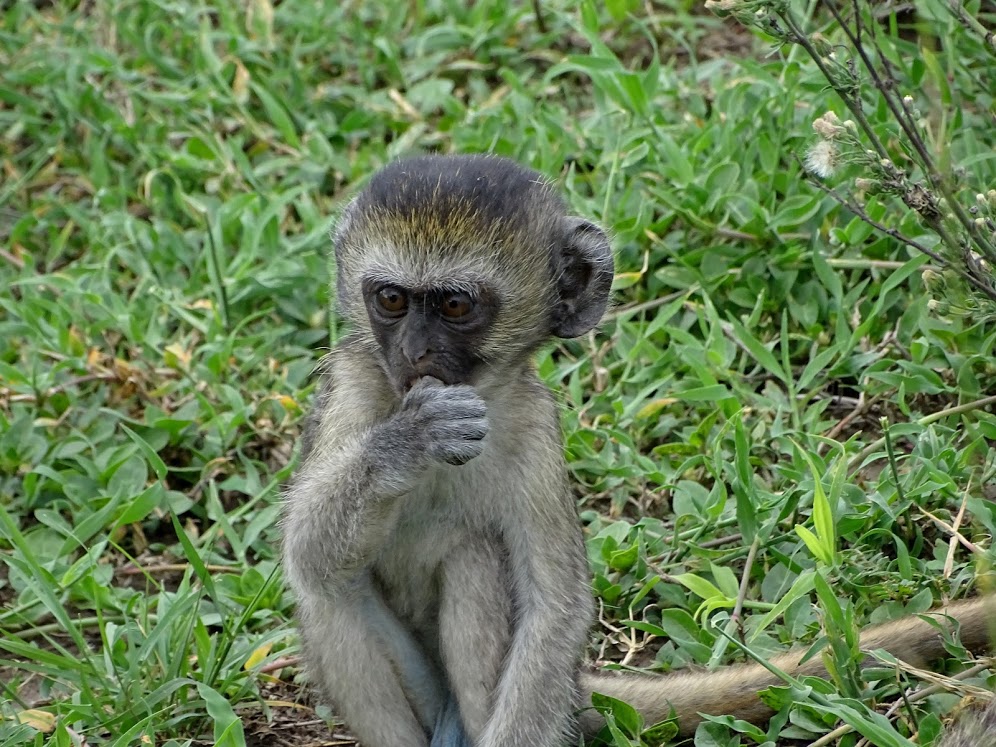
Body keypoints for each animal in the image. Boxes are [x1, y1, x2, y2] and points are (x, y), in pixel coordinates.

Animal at [280, 153, 995, 747]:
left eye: (454, 306)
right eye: (391, 299)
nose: (414, 354)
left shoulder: (535, 429)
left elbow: (554, 608)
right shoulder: (355, 385)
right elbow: (307, 548)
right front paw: (412, 438)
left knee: (475, 560)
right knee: (329, 591)